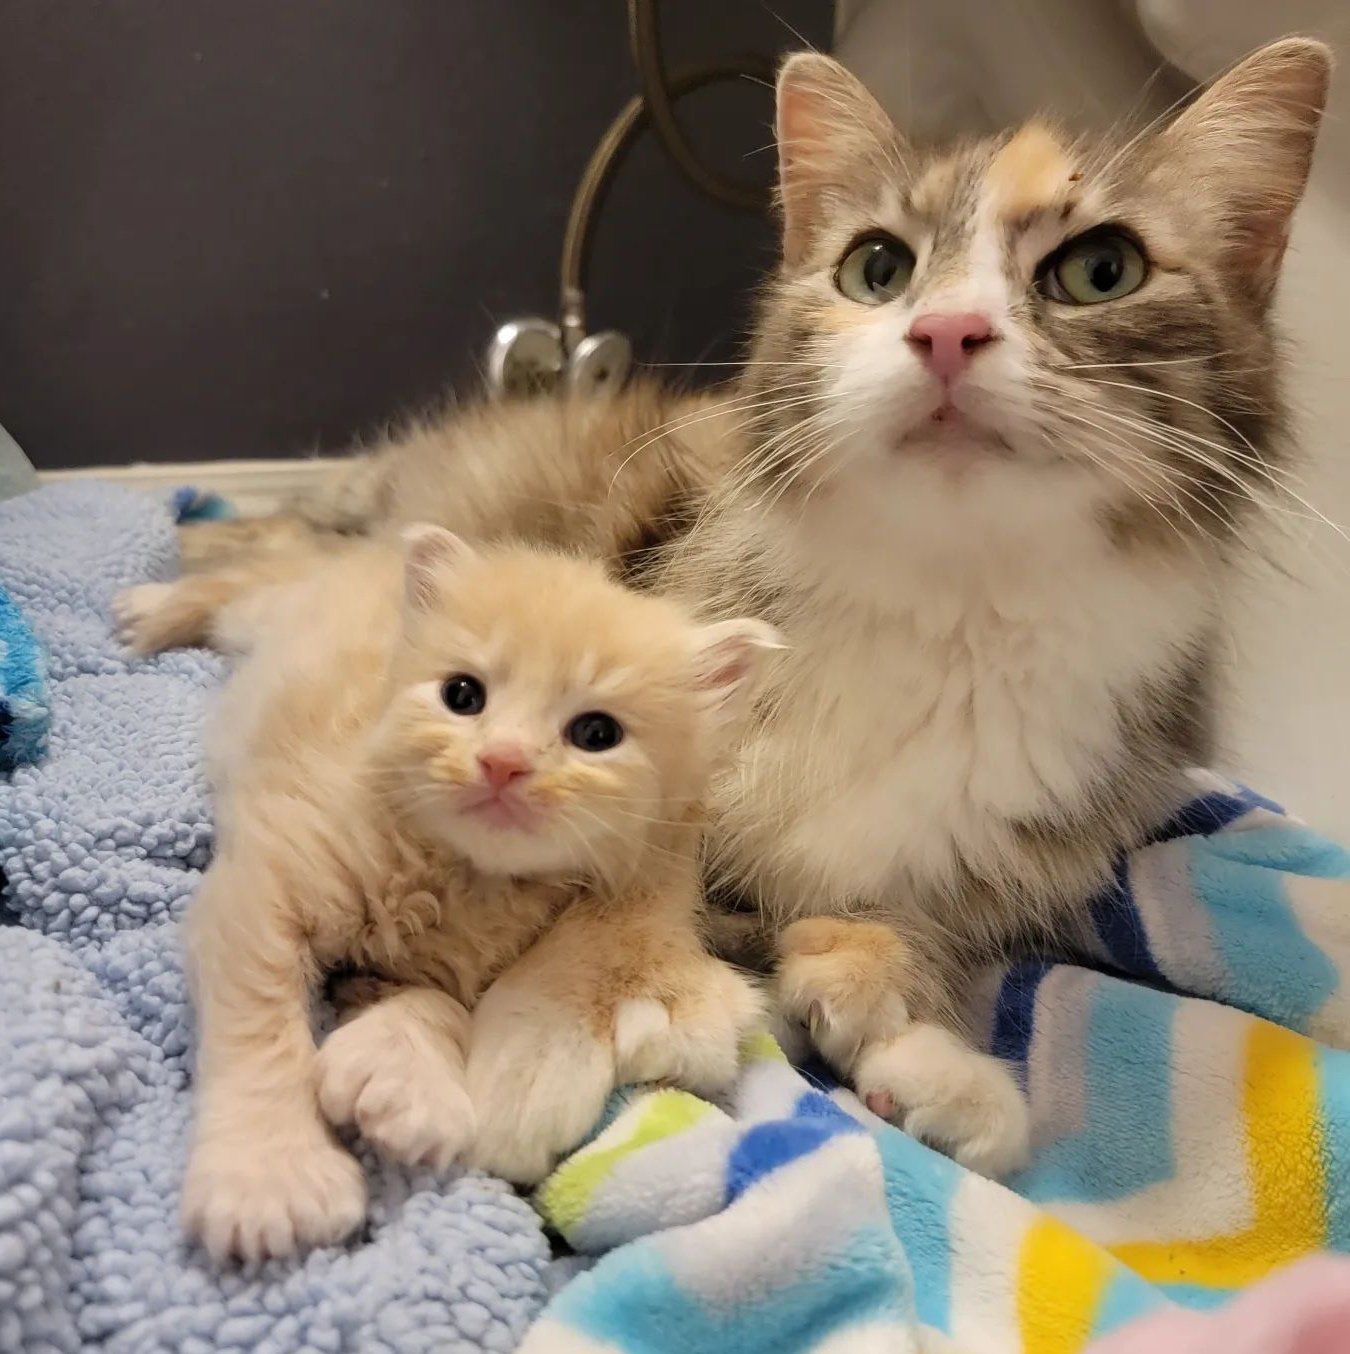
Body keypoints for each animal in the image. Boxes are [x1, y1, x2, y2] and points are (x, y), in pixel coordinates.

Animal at [121, 525, 774, 1256]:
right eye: (463, 695)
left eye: (596, 733)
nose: (503, 762)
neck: (463, 873)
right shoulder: (265, 884)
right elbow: (260, 1026)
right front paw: (271, 1177)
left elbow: (431, 1003)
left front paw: (399, 1083)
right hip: (268, 614)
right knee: (250, 577)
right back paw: (152, 608)